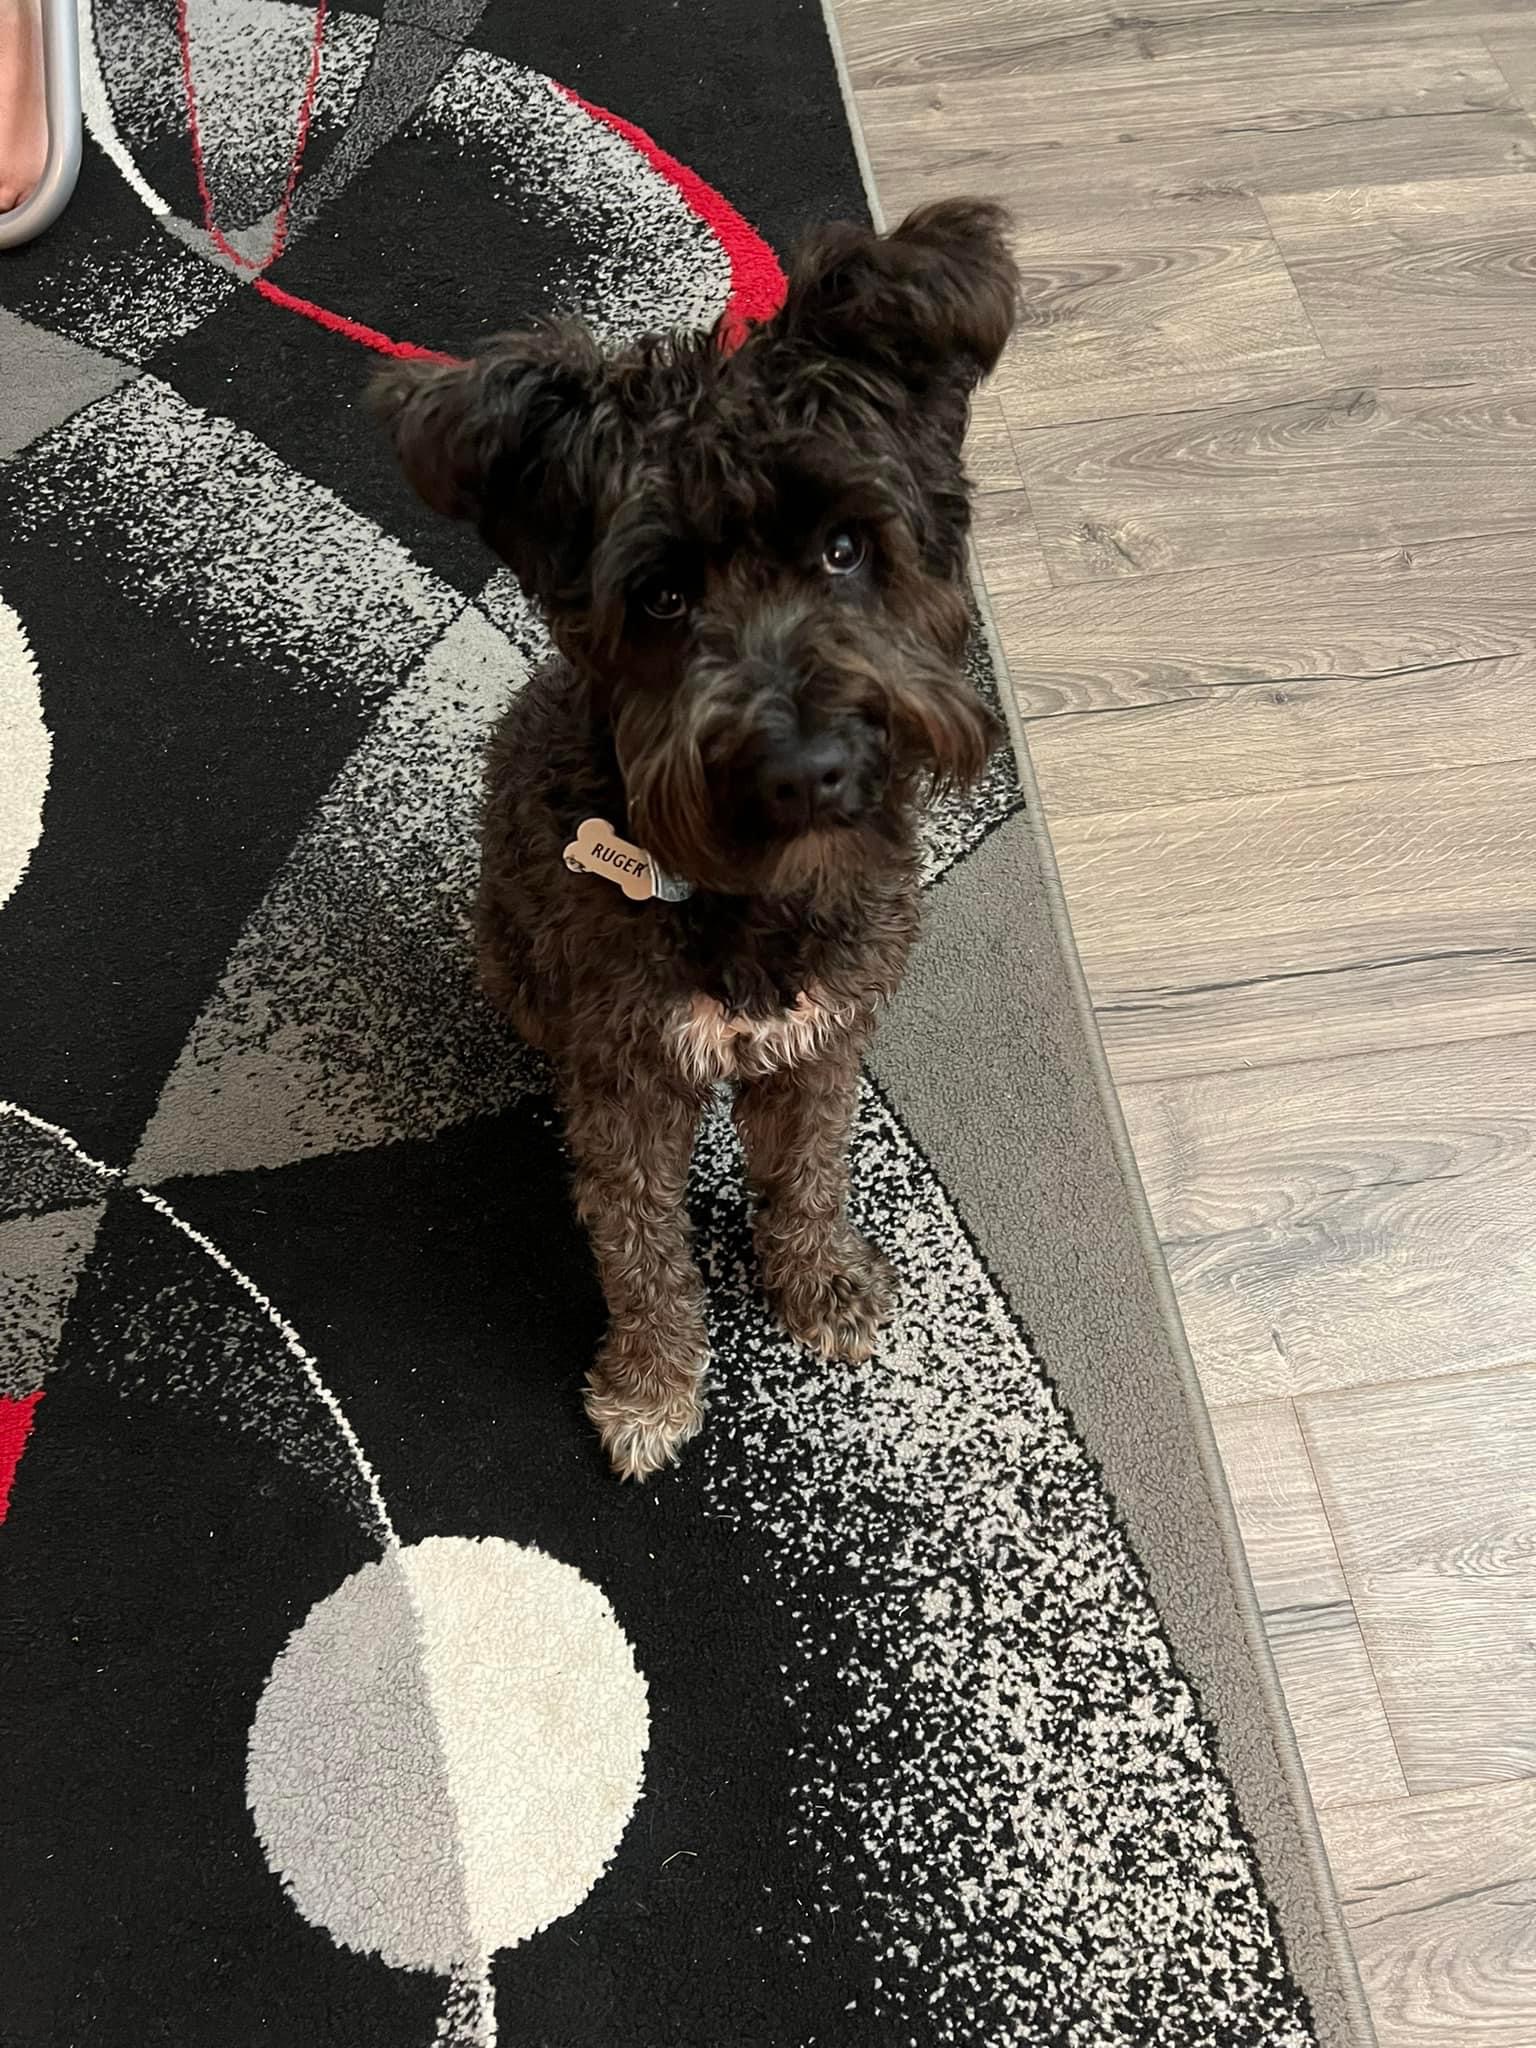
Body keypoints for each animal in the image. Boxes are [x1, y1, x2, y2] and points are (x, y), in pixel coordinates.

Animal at [372, 199, 1024, 1482]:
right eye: (663, 598)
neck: (750, 894)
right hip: (512, 960)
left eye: (843, 548)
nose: (810, 767)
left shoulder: (822, 1043)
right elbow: (641, 1248)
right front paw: (653, 1382)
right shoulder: (628, 1084)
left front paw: (819, 1283)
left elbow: (810, 1174)